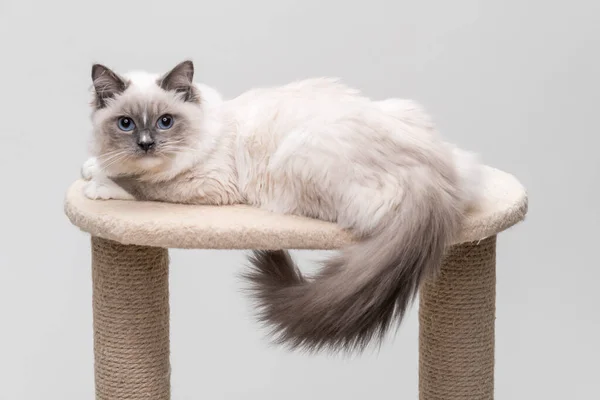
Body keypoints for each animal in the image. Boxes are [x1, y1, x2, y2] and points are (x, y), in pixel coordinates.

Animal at [83, 59, 482, 354]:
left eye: (165, 122)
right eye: (125, 124)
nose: (146, 144)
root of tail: (432, 176)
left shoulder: (205, 185)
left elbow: (140, 185)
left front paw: (98, 183)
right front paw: (93, 167)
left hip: (296, 155)